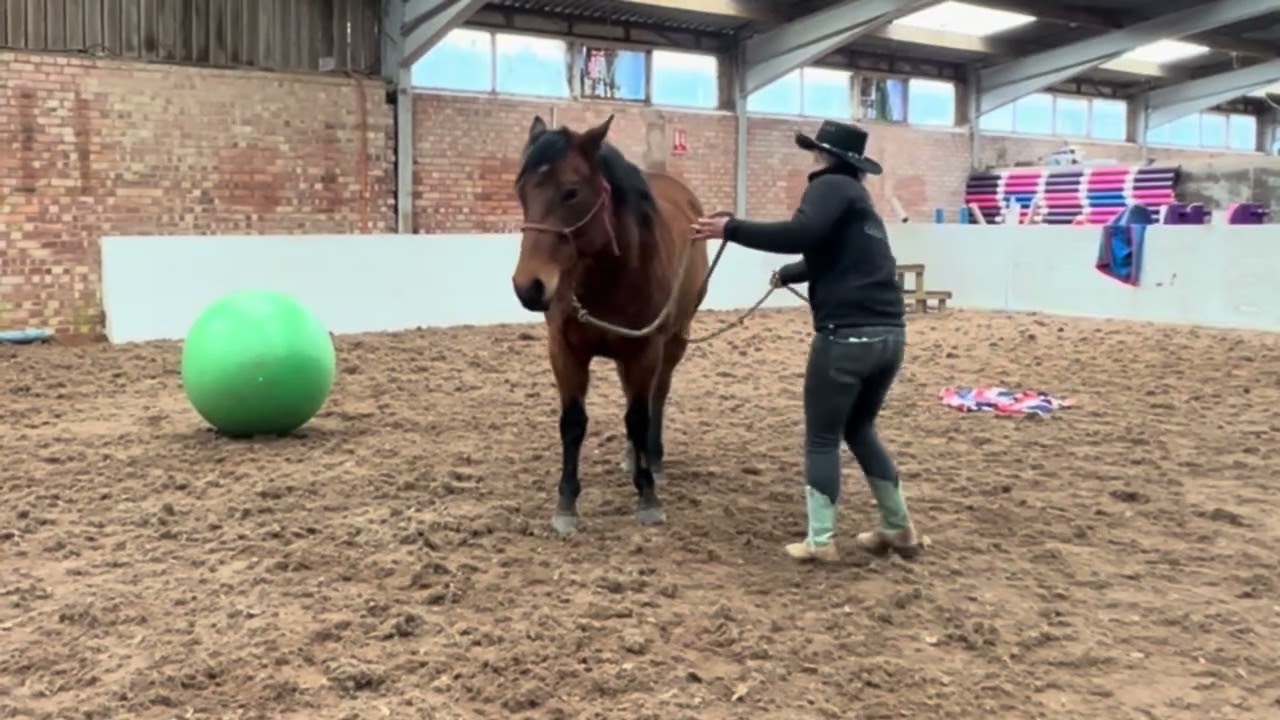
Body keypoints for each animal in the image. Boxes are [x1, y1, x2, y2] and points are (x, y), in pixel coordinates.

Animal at [511, 114, 710, 536]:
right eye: (521, 191)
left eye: (571, 192)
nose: (528, 287)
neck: (608, 276)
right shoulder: (564, 350)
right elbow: (573, 423)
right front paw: (566, 504)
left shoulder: (644, 351)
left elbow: (638, 416)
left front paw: (648, 496)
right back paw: (633, 457)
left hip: (674, 341)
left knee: (656, 397)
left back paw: (652, 459)